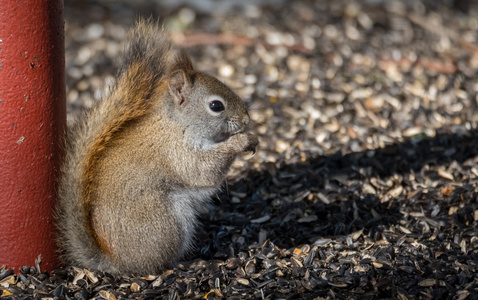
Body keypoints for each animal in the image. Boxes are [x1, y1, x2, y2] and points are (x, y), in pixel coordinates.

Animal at [55, 19, 258, 276]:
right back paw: (189, 263)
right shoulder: (175, 152)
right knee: (157, 264)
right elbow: (203, 170)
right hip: (166, 223)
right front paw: (241, 141)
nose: (246, 119)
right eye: (216, 106)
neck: (177, 123)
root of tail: (117, 262)